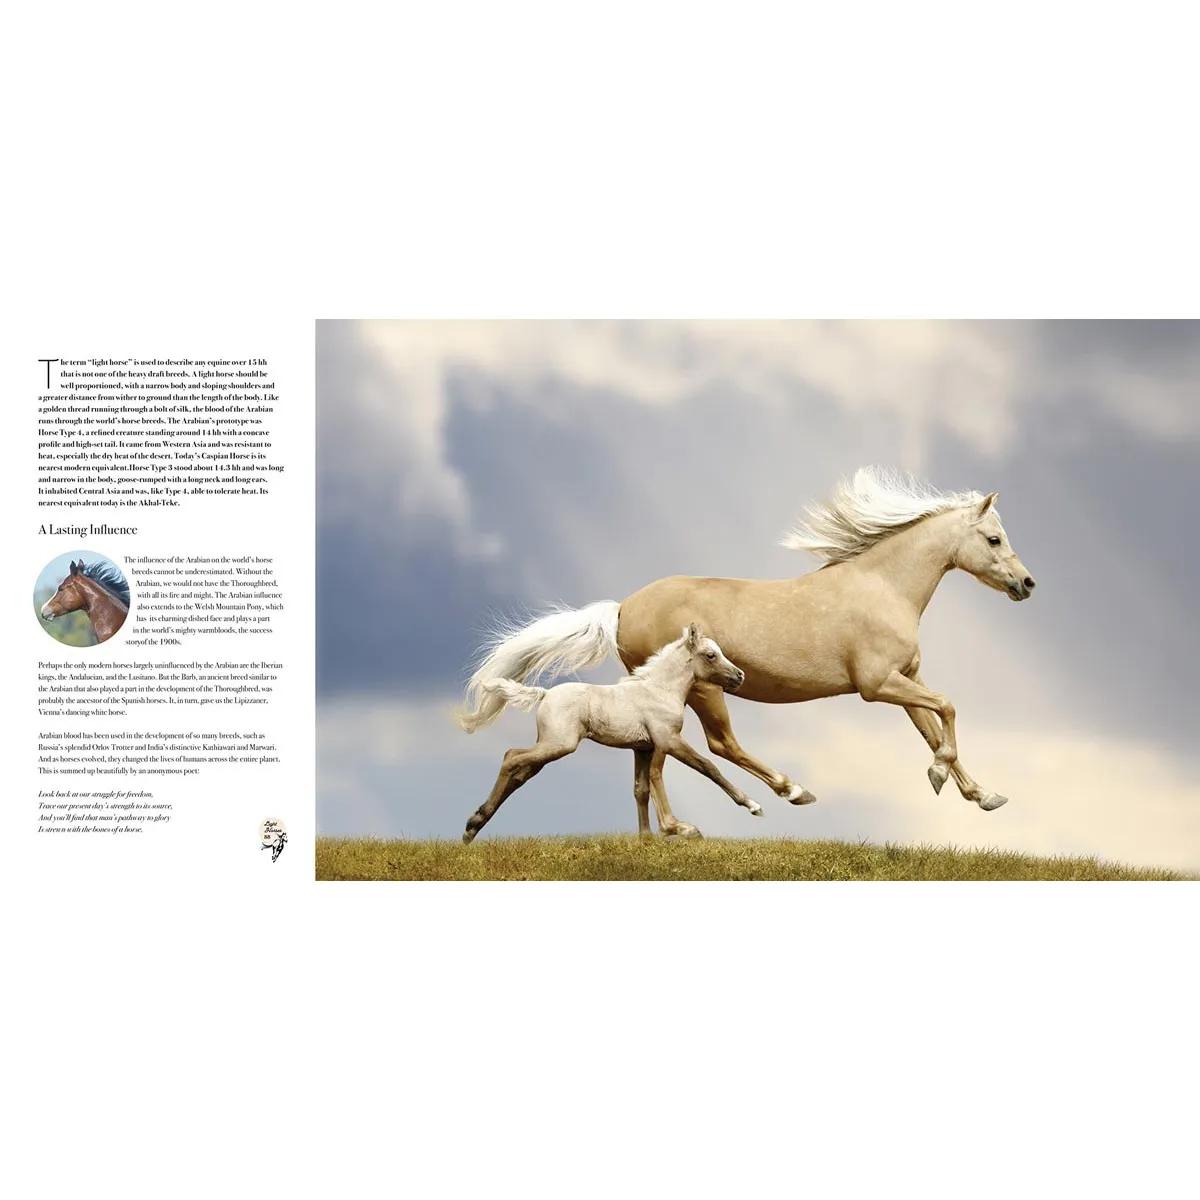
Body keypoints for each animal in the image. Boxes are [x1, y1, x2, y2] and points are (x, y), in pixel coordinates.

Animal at [462, 624, 760, 843]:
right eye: (710, 655)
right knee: (511, 757)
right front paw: (685, 827)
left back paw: (473, 827)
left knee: (519, 771)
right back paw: (473, 824)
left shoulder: (643, 748)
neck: (660, 690)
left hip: (549, 747)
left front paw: (646, 837)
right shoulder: (668, 740)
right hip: (559, 744)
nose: (740, 676)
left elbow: (642, 788)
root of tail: (545, 694)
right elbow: (704, 768)